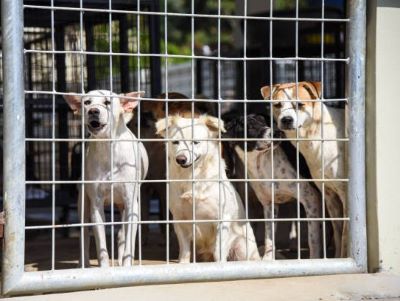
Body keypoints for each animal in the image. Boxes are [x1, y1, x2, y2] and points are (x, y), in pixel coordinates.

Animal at [64, 88, 148, 264]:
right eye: (87, 102)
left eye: (107, 102)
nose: (93, 111)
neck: (108, 150)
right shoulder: (96, 205)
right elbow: (101, 246)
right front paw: (104, 268)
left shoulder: (131, 204)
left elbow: (128, 244)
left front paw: (126, 265)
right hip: (83, 204)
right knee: (84, 234)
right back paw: (84, 264)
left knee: (122, 234)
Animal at [155, 116, 260, 262]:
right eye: (175, 142)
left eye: (195, 142)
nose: (181, 159)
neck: (191, 177)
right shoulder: (179, 220)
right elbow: (184, 250)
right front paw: (183, 263)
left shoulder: (222, 220)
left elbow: (218, 251)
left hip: (242, 246)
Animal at [260, 81, 346, 256]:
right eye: (277, 105)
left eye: (299, 104)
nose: (286, 120)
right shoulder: (329, 194)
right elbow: (339, 231)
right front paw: (337, 257)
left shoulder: (346, 193)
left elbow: (346, 236)